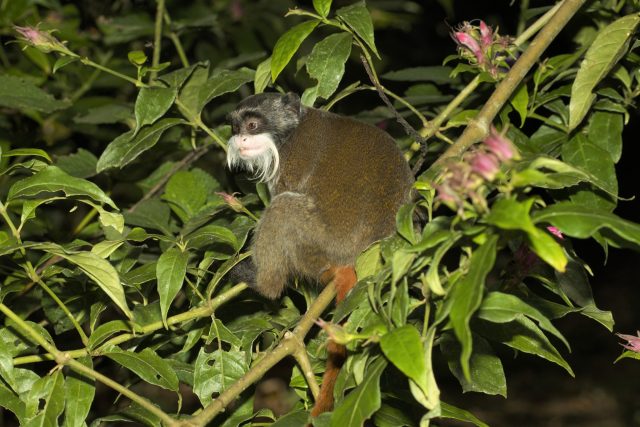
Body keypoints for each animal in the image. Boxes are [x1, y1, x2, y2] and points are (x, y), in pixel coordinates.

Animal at [226, 92, 414, 416]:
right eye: (236, 127)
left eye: (252, 125)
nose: (240, 140)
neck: (290, 132)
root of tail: (353, 259)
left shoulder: (292, 160)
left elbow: (281, 198)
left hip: (317, 240)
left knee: (283, 209)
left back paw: (265, 283)